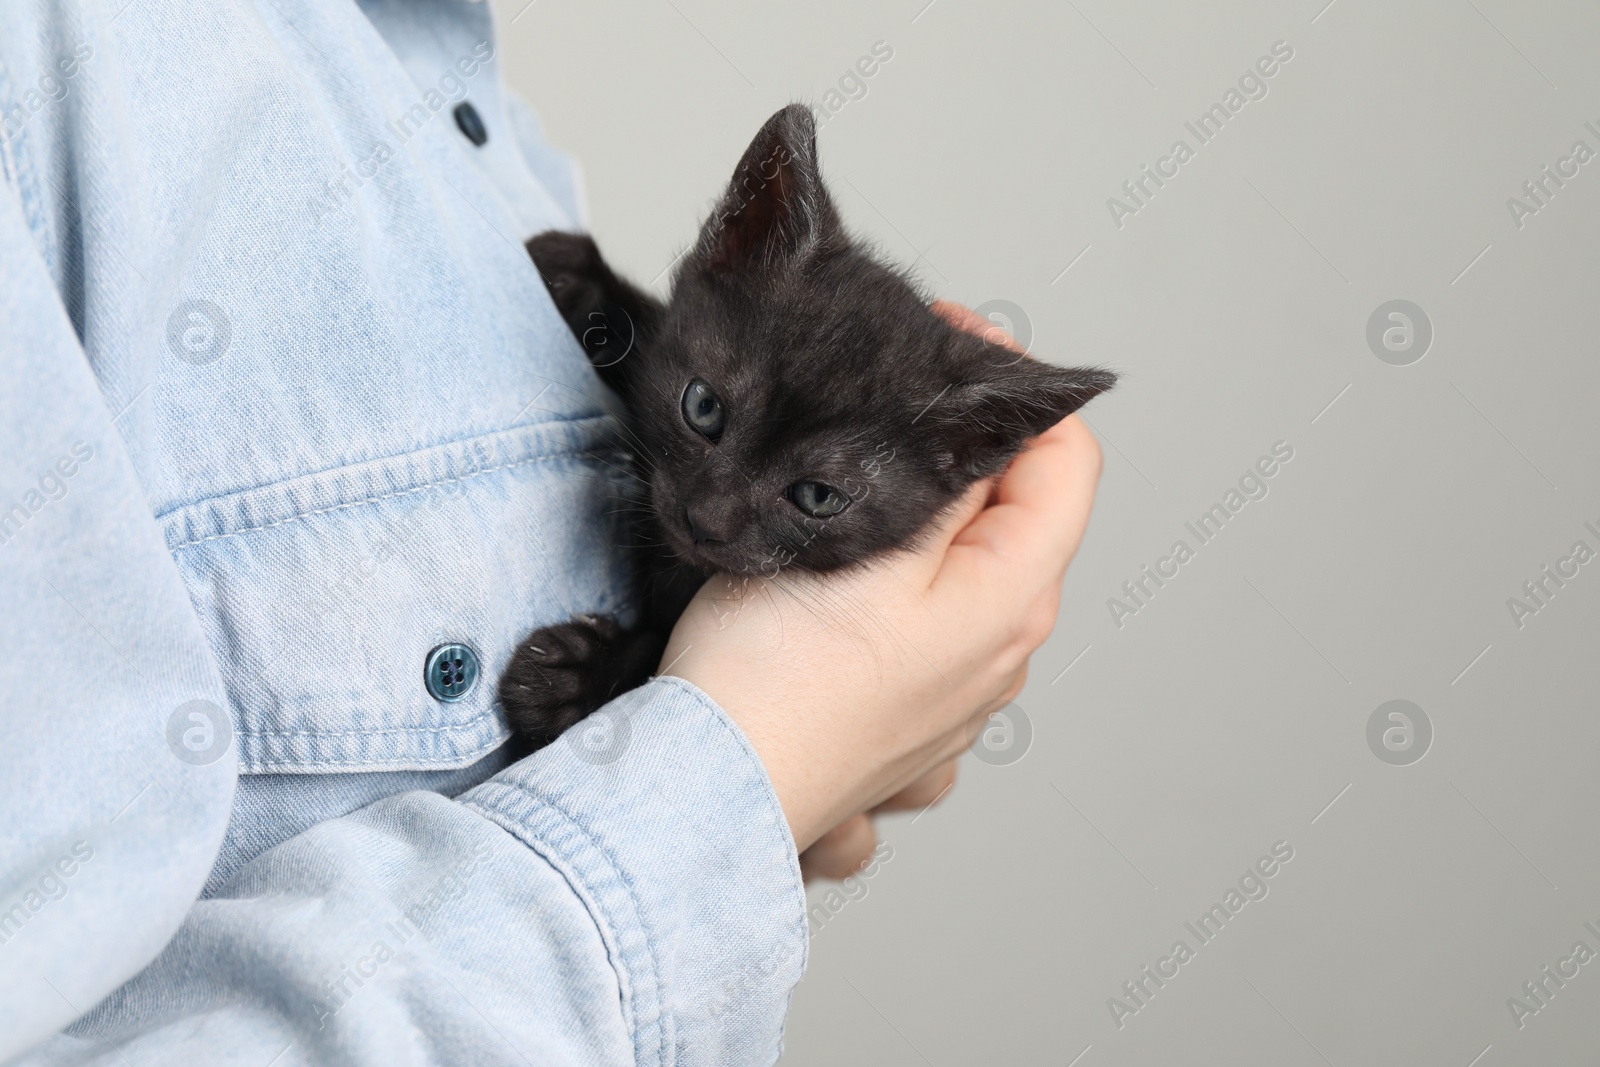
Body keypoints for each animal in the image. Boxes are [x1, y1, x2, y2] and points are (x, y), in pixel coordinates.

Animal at [499, 103, 1113, 748]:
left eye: (818, 497)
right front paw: (573, 270)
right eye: (703, 408)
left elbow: (657, 645)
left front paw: (574, 676)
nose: (705, 520)